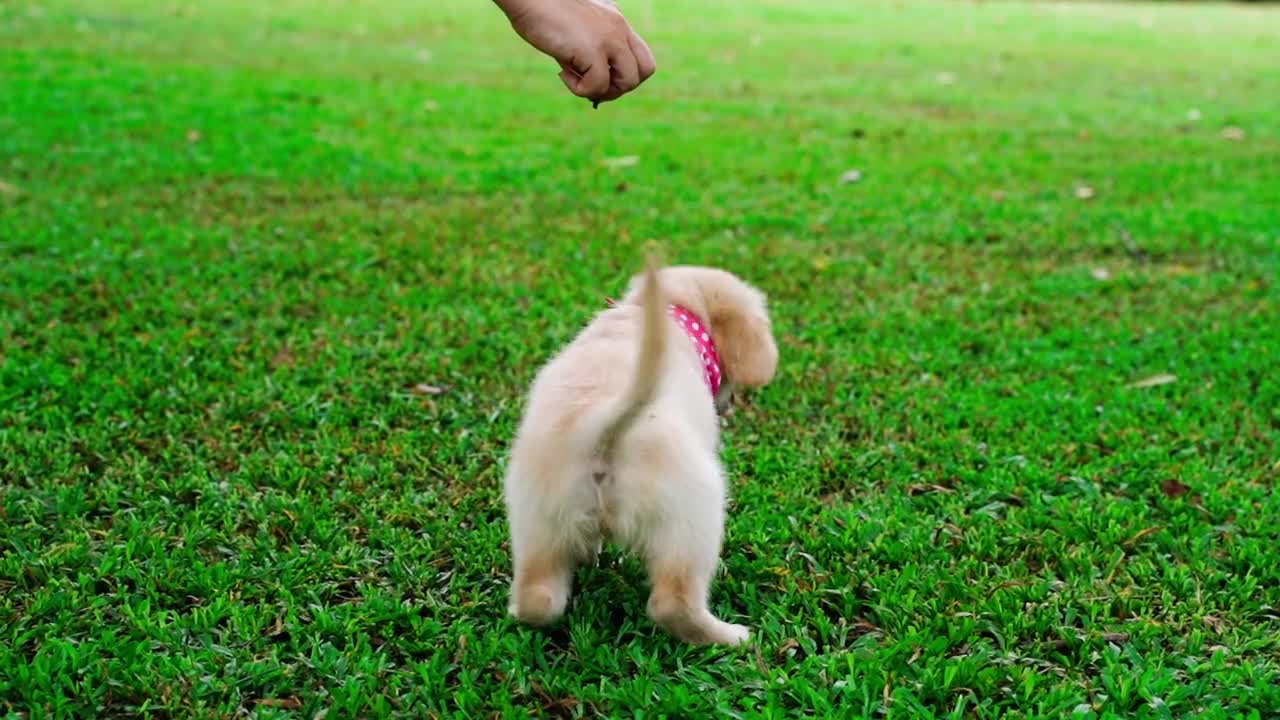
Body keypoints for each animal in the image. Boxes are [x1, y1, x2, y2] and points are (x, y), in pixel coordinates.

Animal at [501, 257, 778, 645]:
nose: (730, 404)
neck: (667, 309)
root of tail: (600, 425)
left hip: (538, 520)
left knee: (539, 598)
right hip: (694, 515)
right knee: (673, 603)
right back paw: (731, 636)